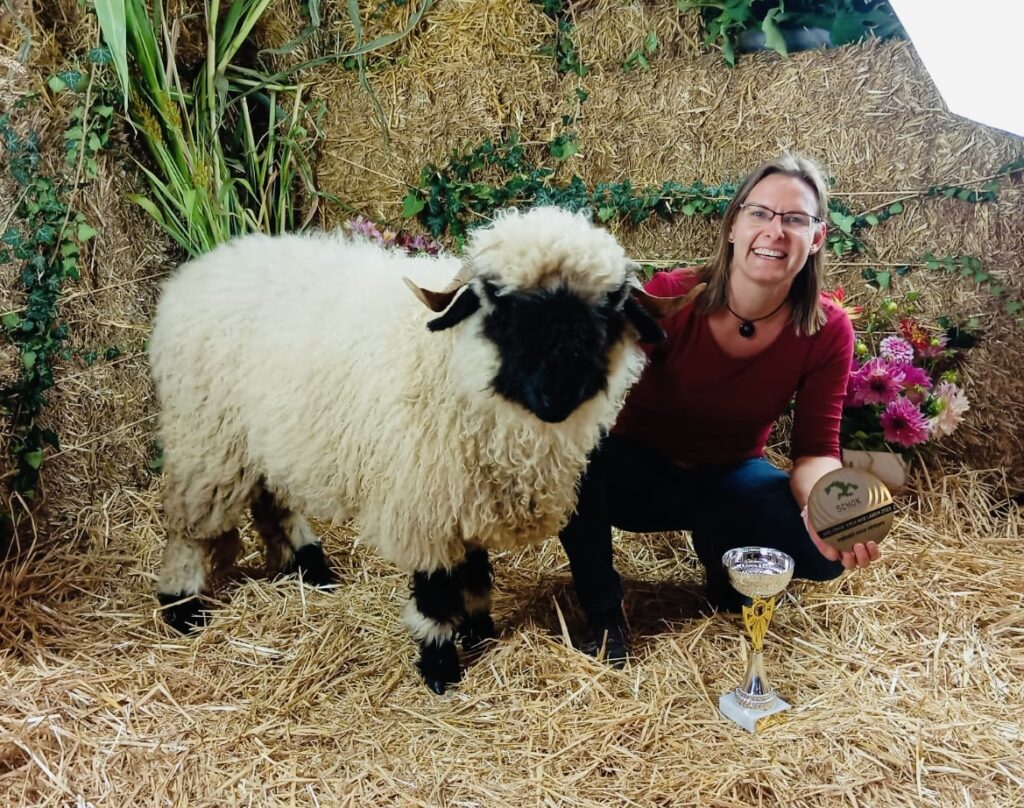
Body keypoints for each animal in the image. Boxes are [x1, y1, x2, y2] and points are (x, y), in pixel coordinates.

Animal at [149, 206, 704, 693]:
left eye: (606, 312)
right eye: (501, 307)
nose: (558, 396)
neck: (452, 366)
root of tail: (205, 265)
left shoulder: (470, 492)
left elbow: (476, 574)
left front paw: (479, 634)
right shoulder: (426, 498)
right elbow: (437, 595)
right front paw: (441, 668)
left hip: (262, 435)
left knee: (272, 502)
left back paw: (310, 569)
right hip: (205, 439)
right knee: (187, 527)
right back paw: (182, 606)